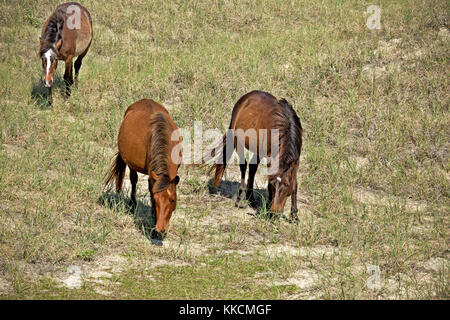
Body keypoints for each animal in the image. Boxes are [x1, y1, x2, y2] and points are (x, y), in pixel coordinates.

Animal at [210, 89, 302, 220]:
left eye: (286, 184)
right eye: (273, 185)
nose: (275, 211)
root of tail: (246, 97)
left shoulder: (295, 161)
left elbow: (295, 185)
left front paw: (294, 215)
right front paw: (268, 207)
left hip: (257, 150)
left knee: (252, 169)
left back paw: (251, 198)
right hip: (238, 142)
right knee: (243, 167)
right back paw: (241, 199)